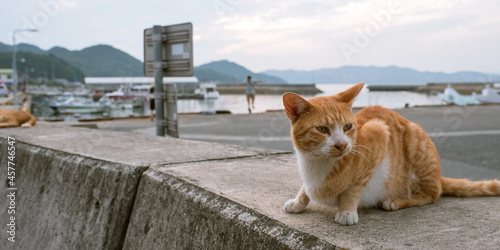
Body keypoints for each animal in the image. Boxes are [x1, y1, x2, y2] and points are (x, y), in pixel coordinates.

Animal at [284, 83, 498, 226]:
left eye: (347, 127)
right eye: (321, 129)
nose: (342, 145)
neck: (316, 161)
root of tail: (439, 176)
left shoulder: (379, 133)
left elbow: (354, 187)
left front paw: (346, 210)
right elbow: (305, 188)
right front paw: (299, 202)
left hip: (415, 141)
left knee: (432, 194)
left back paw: (395, 201)